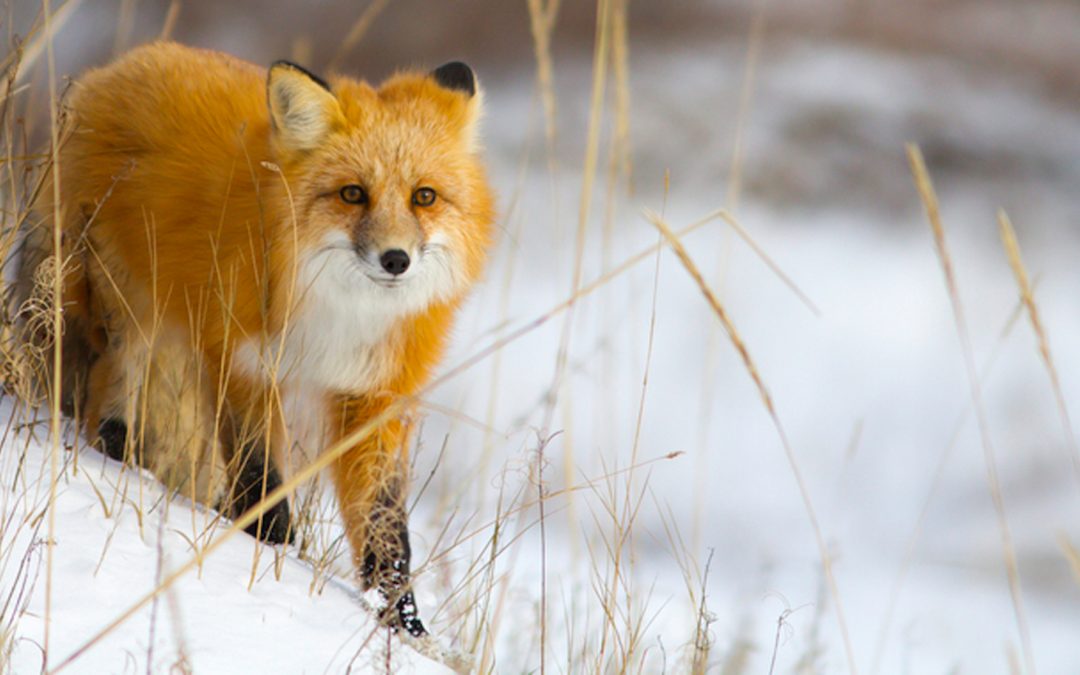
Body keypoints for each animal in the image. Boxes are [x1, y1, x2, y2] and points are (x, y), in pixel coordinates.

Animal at [15, 41, 495, 636]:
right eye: (353, 194)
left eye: (424, 196)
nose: (396, 260)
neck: (341, 311)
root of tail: (114, 67)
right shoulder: (243, 362)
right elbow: (261, 480)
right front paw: (273, 561)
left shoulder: (373, 397)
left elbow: (385, 530)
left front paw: (402, 625)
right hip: (129, 319)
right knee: (107, 406)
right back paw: (124, 463)